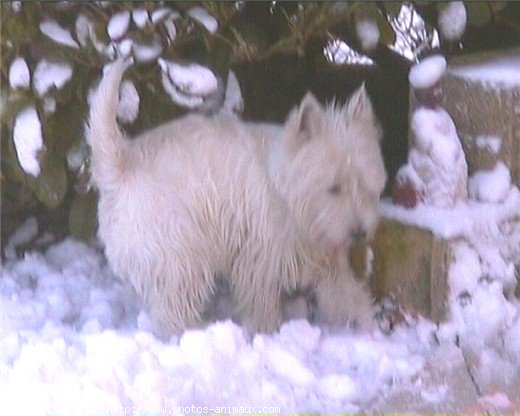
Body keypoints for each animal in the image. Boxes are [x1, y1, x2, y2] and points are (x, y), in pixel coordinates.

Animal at [88, 59, 386, 338]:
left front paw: (366, 324)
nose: (360, 233)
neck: (285, 191)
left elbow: (346, 294)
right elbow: (261, 303)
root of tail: (120, 167)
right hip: (181, 251)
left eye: (367, 186)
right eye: (334, 187)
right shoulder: (259, 257)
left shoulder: (325, 256)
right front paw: (266, 333)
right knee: (173, 309)